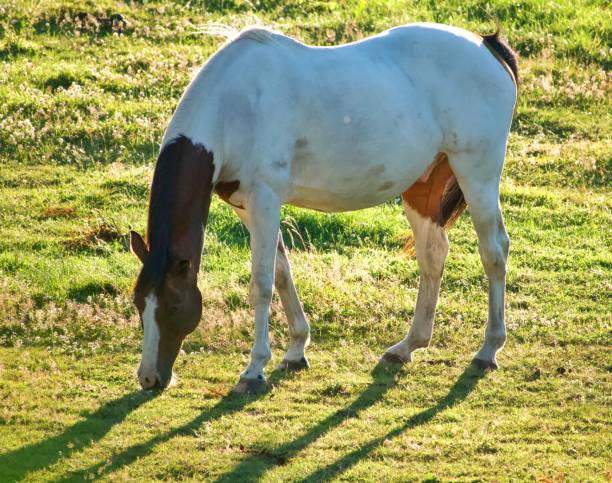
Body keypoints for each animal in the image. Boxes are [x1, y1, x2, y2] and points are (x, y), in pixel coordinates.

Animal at [128, 21, 516, 394]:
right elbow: (282, 273)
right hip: (422, 188)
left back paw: (488, 349)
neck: (234, 106)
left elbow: (263, 283)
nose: (149, 378)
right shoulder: (247, 206)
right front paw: (296, 350)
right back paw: (408, 346)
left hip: (477, 175)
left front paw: (254, 370)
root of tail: (486, 46)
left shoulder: (264, 198)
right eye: (138, 303)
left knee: (494, 251)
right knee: (433, 254)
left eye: (174, 304)